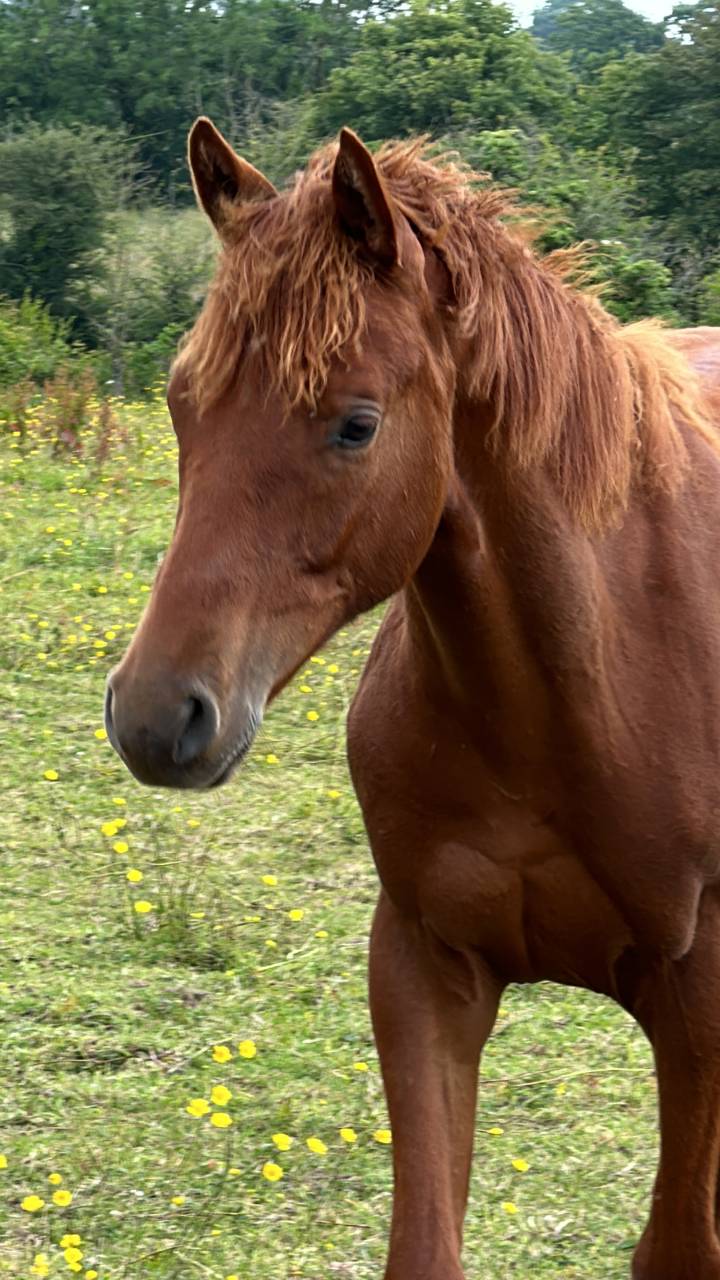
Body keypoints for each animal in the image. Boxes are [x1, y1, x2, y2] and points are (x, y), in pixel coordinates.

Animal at [105, 116, 720, 1280]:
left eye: (356, 425)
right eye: (179, 399)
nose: (156, 717)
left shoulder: (699, 994)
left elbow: (679, 1243)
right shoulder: (426, 967)